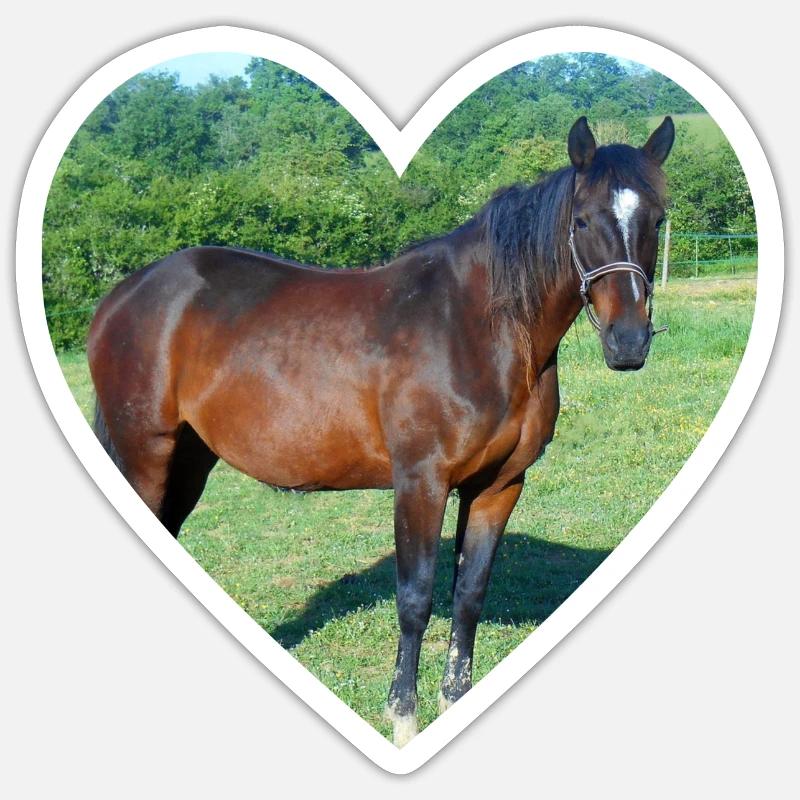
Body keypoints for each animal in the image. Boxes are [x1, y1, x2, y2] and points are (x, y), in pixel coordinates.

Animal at [88, 116, 675, 746]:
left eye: (657, 219)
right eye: (582, 220)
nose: (628, 342)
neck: (477, 327)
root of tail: (123, 295)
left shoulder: (499, 487)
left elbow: (468, 595)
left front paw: (451, 701)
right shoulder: (421, 482)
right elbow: (415, 598)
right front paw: (403, 721)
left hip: (190, 459)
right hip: (145, 455)